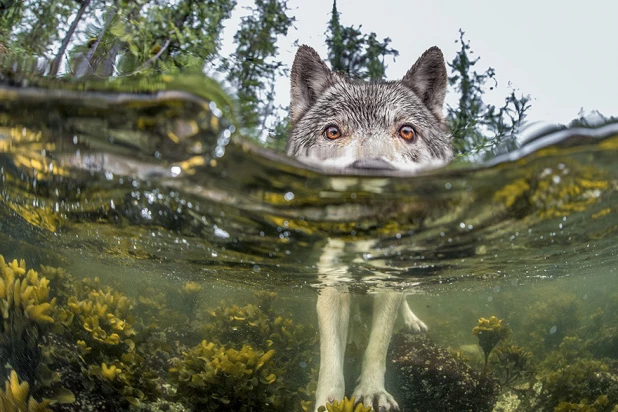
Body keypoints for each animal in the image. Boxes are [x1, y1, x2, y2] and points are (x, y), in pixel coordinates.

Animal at [286, 45, 450, 412]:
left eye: (407, 131)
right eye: (333, 132)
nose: (372, 171)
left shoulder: (388, 285)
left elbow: (378, 345)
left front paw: (373, 392)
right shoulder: (332, 287)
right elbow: (330, 357)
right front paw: (329, 402)